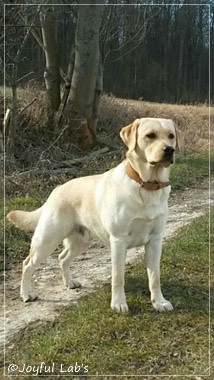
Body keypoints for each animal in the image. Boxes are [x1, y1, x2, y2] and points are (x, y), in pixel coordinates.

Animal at [7, 118, 181, 312]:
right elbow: (118, 276)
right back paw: (26, 294)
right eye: (150, 135)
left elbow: (155, 276)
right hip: (47, 239)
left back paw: (69, 283)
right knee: (27, 263)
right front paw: (118, 304)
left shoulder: (155, 239)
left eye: (171, 136)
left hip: (80, 240)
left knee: (62, 258)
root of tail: (57, 189)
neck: (147, 185)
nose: (169, 150)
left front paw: (159, 302)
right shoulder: (118, 240)